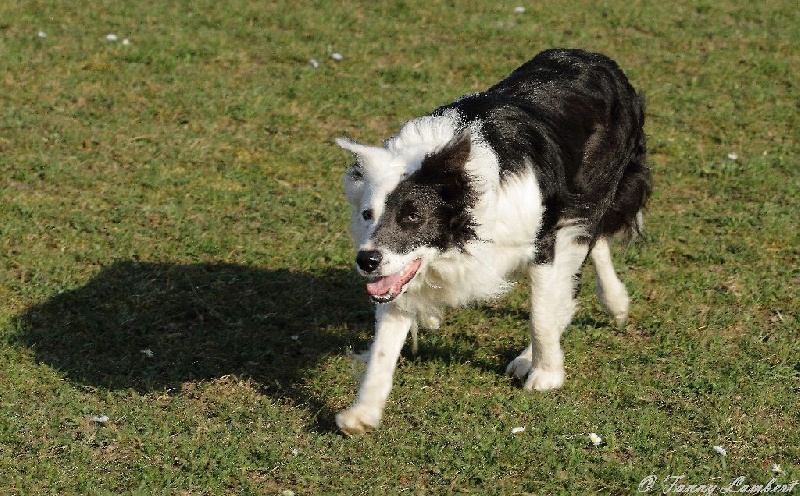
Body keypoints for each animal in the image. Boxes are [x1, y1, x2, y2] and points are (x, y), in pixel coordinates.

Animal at [332, 47, 648, 434]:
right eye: (367, 214)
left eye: (412, 217)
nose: (366, 261)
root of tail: (596, 58)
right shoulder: (399, 272)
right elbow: (383, 344)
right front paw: (363, 412)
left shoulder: (542, 240)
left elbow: (541, 313)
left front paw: (547, 373)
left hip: (594, 188)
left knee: (584, 249)